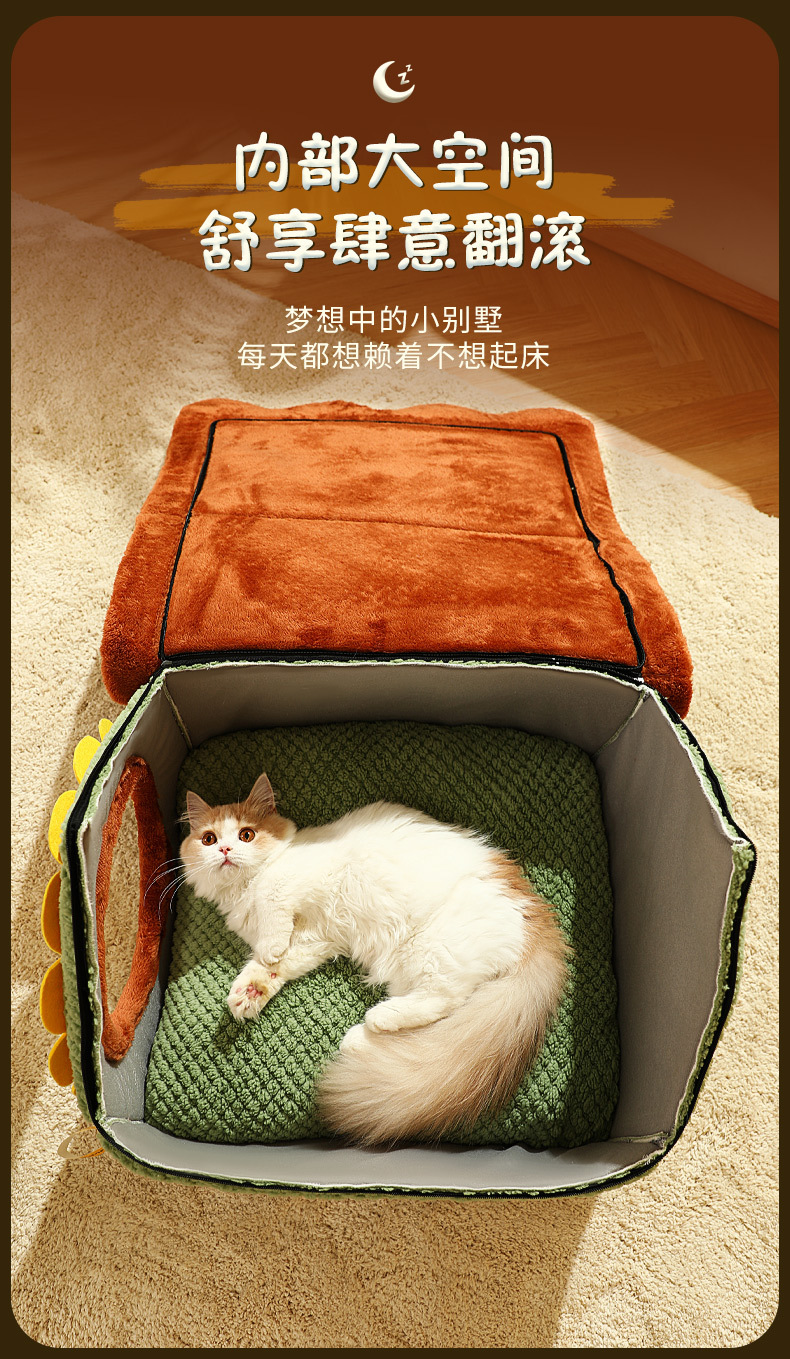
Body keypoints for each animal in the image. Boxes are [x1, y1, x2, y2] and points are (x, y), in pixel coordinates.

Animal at [180, 772, 569, 1147]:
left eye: (246, 835)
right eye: (209, 839)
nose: (226, 849)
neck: (242, 892)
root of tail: (539, 918)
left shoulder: (294, 883)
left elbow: (272, 910)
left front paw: (269, 947)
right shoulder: (314, 939)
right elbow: (271, 969)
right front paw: (248, 994)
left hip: (432, 949)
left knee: (445, 1001)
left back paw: (373, 1021)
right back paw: (359, 1039)